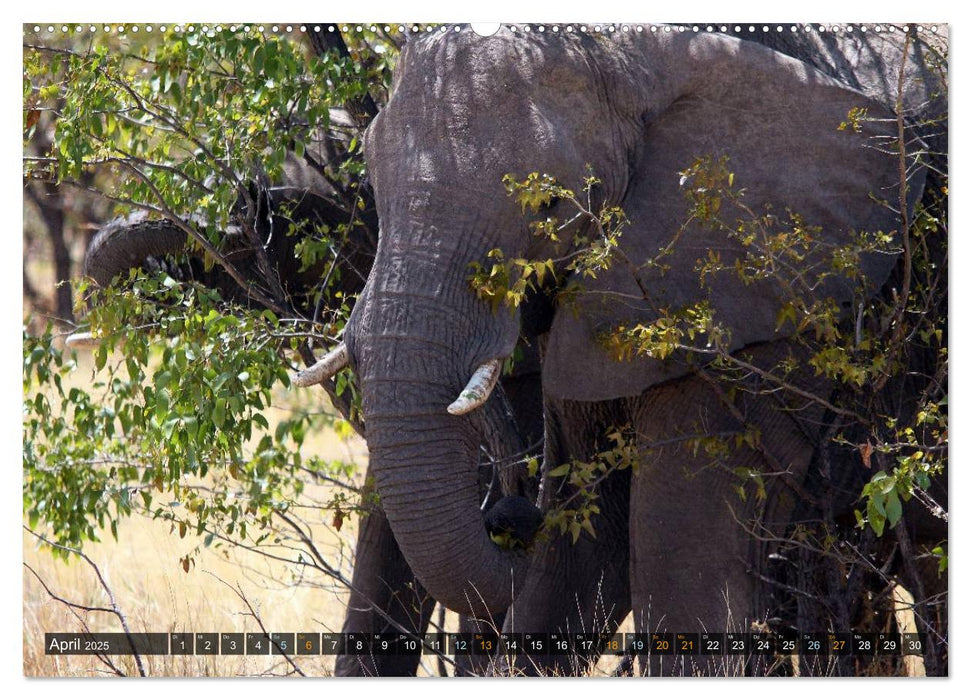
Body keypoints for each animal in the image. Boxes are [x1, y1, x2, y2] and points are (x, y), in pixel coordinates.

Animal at [298, 24, 948, 676]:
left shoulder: (766, 303)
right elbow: (578, 557)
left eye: (551, 204)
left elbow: (683, 575)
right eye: (373, 185)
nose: (507, 513)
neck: (636, 56)